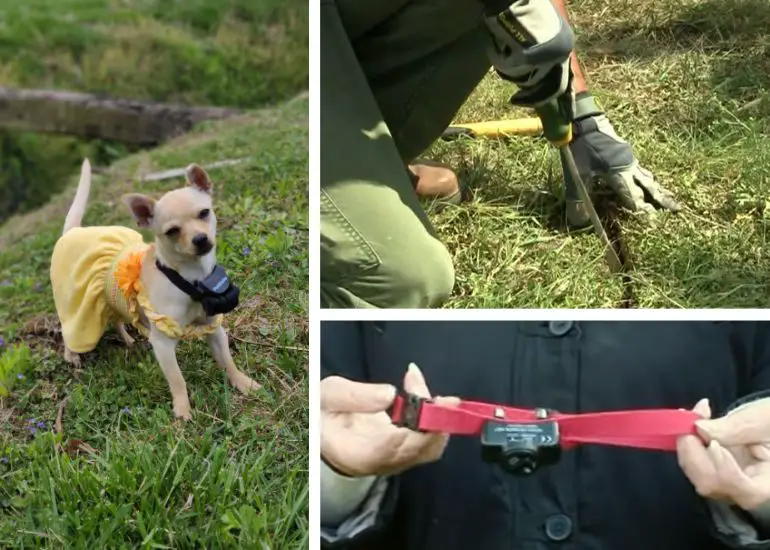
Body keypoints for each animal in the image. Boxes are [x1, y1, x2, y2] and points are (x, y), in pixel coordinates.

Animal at [51, 161, 260, 422]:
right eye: (172, 231)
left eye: (204, 213)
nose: (200, 239)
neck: (190, 279)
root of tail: (72, 232)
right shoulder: (163, 346)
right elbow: (177, 380)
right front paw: (182, 411)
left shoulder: (214, 329)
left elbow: (227, 360)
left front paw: (242, 383)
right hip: (74, 305)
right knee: (69, 329)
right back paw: (72, 355)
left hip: (111, 300)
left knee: (116, 319)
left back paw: (127, 339)